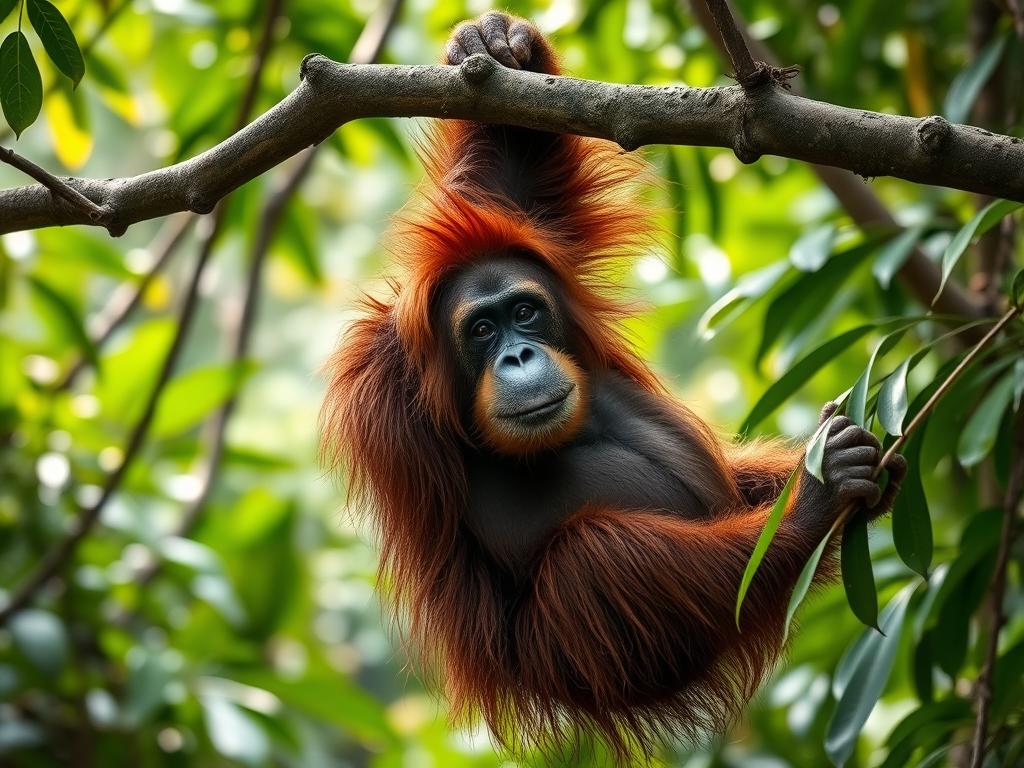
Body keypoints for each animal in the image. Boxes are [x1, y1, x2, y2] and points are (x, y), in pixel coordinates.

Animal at [321, 12, 907, 761]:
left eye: (523, 312)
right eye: (479, 330)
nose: (517, 357)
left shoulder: (514, 237)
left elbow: (509, 176)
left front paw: (495, 46)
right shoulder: (392, 384)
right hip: (578, 659)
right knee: (598, 560)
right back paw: (813, 505)